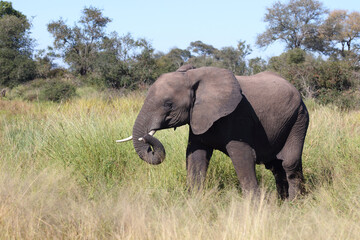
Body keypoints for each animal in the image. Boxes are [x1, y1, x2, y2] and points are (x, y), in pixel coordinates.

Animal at [118, 64, 310, 200]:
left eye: (168, 104)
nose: (146, 138)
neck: (194, 77)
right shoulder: (198, 116)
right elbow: (196, 156)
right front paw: (194, 203)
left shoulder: (238, 116)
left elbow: (242, 157)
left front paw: (254, 208)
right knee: (277, 166)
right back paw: (283, 203)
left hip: (299, 119)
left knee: (289, 163)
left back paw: (293, 204)